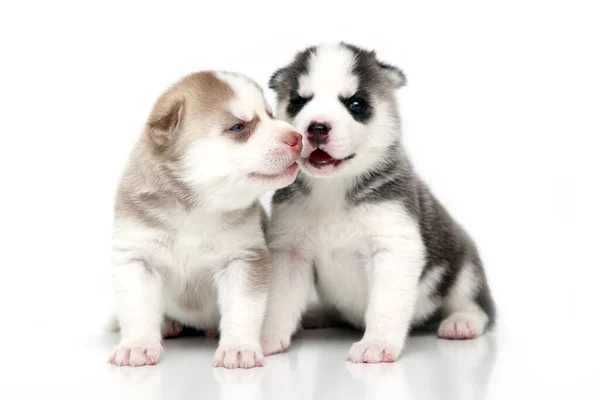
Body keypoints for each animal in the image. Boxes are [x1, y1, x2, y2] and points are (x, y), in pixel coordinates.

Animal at [108, 71, 302, 368]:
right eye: (238, 127)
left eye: (270, 115)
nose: (298, 137)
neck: (195, 211)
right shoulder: (137, 259)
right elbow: (137, 309)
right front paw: (136, 346)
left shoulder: (242, 259)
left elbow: (242, 309)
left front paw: (238, 348)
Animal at [260, 43, 494, 362]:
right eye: (298, 102)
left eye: (356, 104)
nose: (316, 127)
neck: (332, 190)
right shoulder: (290, 253)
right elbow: (279, 303)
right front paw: (265, 339)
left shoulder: (393, 248)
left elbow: (385, 305)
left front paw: (377, 343)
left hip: (465, 266)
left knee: (477, 305)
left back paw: (462, 321)